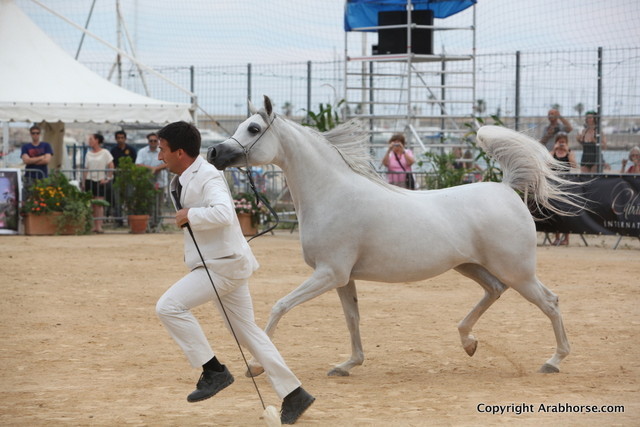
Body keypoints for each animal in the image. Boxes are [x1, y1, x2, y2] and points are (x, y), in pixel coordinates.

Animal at [209, 95, 580, 377]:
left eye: (253, 128)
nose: (213, 153)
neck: (331, 193)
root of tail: (505, 188)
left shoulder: (329, 273)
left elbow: (280, 306)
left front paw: (256, 366)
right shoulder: (343, 278)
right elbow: (353, 319)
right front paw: (348, 365)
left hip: (517, 271)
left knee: (550, 301)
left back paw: (553, 361)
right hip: (471, 266)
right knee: (494, 291)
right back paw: (469, 342)